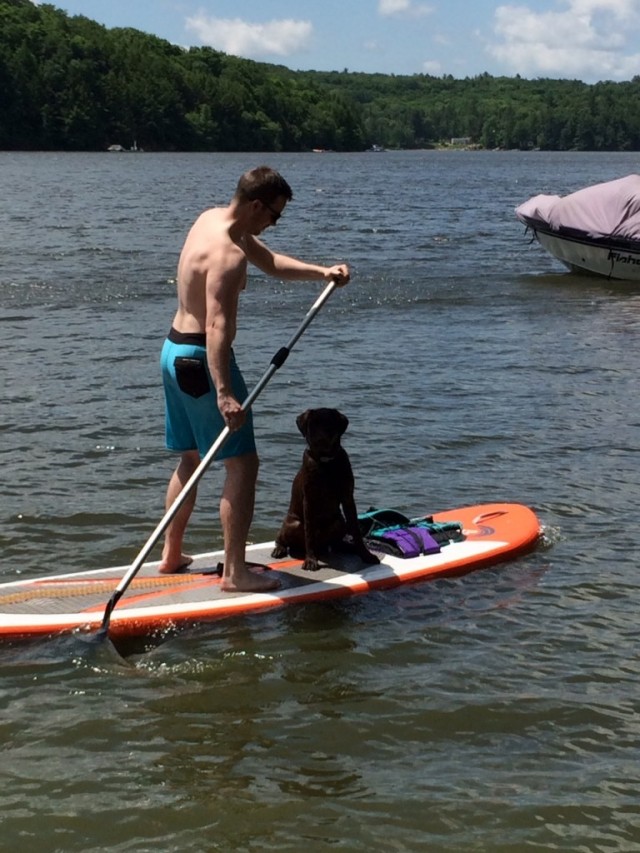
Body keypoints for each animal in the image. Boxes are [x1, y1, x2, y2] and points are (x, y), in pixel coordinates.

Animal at [272, 408, 380, 568]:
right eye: (312, 425)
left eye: (329, 424)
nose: (320, 440)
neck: (326, 462)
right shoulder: (309, 500)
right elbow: (309, 532)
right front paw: (310, 560)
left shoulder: (348, 498)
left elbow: (356, 530)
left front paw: (366, 555)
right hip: (293, 524)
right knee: (282, 538)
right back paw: (280, 549)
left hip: (339, 522)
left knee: (336, 543)